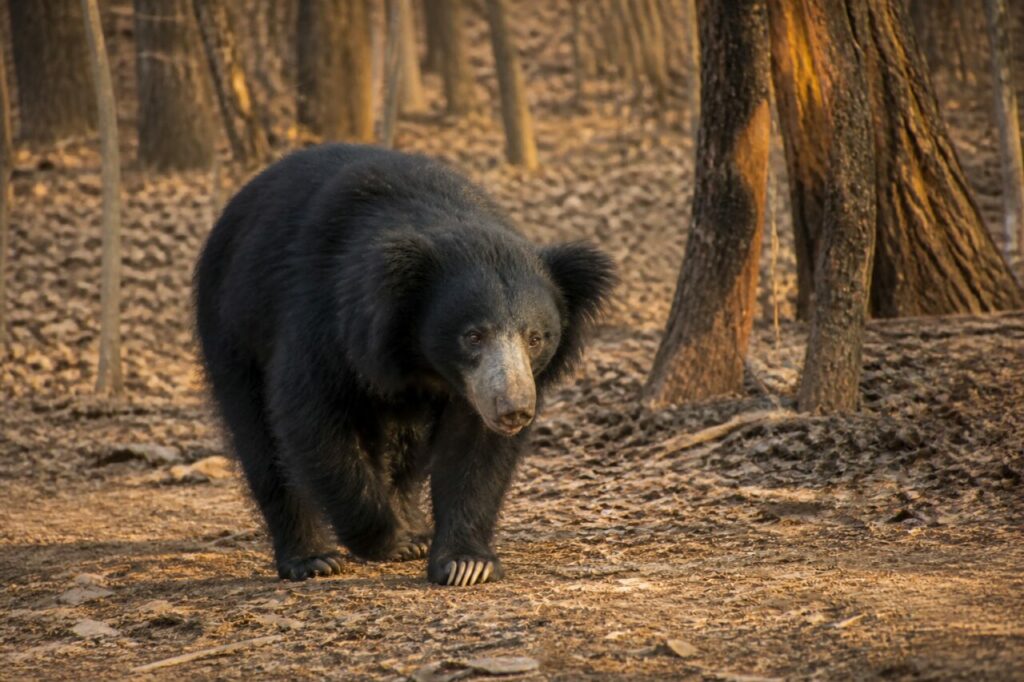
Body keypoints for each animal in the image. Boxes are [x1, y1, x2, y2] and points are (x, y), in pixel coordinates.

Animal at [194, 144, 615, 586]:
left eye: (535, 338)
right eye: (473, 335)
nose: (513, 409)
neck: (423, 361)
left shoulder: (472, 389)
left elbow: (475, 447)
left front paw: (466, 564)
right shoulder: (324, 321)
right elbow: (312, 418)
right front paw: (387, 540)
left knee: (405, 453)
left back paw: (414, 530)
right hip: (232, 330)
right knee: (261, 442)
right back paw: (313, 558)